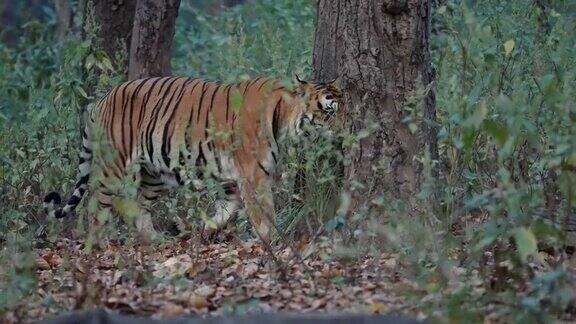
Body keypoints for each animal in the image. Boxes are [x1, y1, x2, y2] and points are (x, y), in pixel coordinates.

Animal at [45, 76, 342, 242]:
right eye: (328, 111)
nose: (345, 132)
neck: (284, 119)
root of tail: (101, 100)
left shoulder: (232, 180)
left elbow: (226, 210)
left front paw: (207, 230)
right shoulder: (253, 177)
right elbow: (263, 214)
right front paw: (272, 242)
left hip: (155, 173)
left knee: (138, 204)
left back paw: (155, 239)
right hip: (114, 165)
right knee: (97, 205)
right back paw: (97, 245)